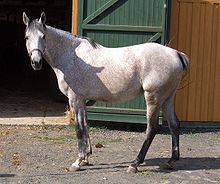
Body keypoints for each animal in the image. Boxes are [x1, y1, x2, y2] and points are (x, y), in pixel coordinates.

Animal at [22, 12, 189, 173]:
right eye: (27, 37)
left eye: (43, 36)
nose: (36, 62)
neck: (70, 56)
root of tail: (176, 54)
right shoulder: (82, 101)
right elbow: (85, 126)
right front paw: (86, 158)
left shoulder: (74, 99)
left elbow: (79, 129)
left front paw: (77, 162)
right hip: (167, 99)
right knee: (174, 125)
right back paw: (170, 161)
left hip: (153, 98)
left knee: (151, 129)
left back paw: (135, 164)